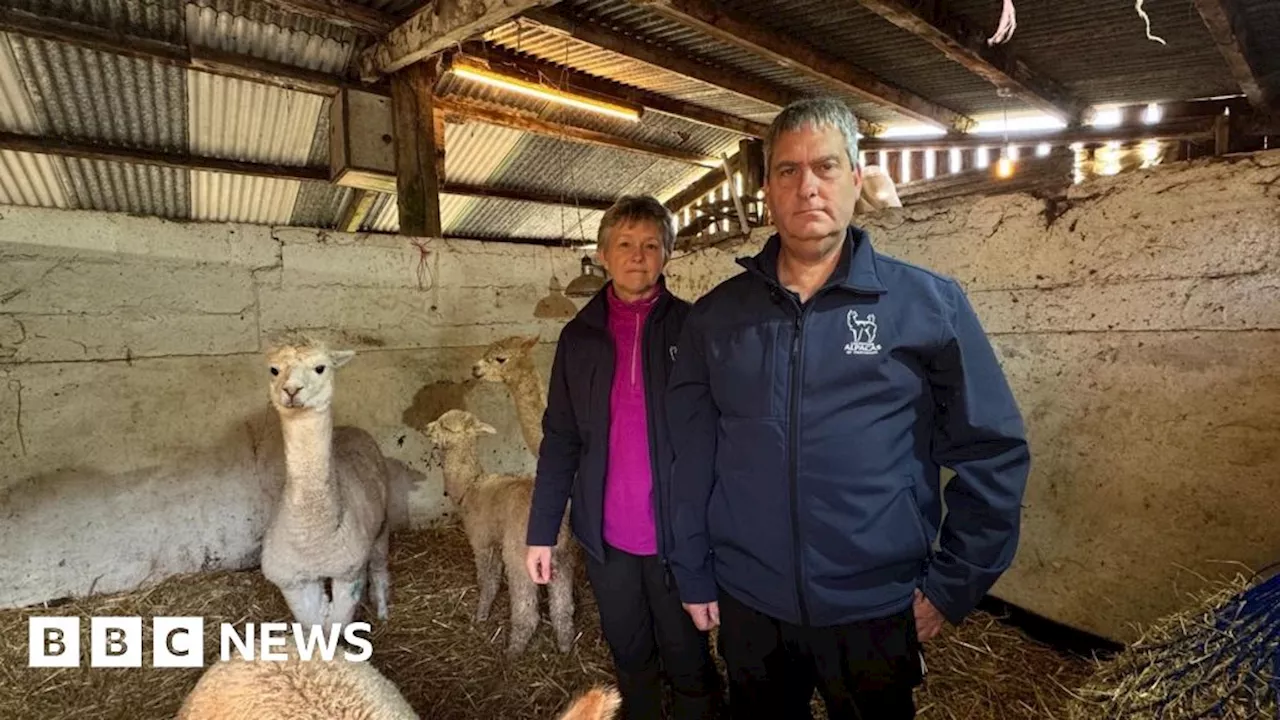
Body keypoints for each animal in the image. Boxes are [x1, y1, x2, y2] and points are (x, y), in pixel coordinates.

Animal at [262, 333, 391, 630]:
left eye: (320, 367)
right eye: (274, 370)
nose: (291, 390)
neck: (312, 540)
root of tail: (351, 429)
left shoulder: (347, 571)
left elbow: (338, 622)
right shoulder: (293, 580)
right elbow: (313, 624)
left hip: (382, 524)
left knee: (379, 565)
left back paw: (382, 609)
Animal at [424, 409, 576, 655]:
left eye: (445, 426)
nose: (426, 429)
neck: (471, 486)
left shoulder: (483, 542)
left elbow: (488, 579)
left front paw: (481, 613)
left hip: (520, 555)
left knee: (527, 610)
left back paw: (513, 651)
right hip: (562, 556)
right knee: (563, 605)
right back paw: (565, 646)